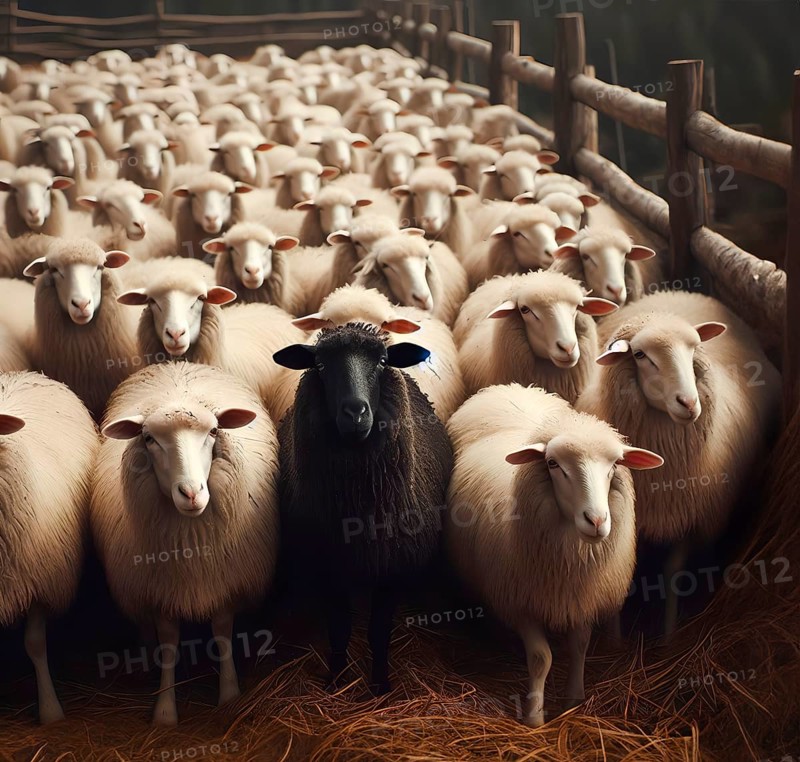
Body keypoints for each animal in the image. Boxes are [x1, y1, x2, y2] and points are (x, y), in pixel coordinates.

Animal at [91, 361, 278, 724]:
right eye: (149, 438)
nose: (191, 492)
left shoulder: (224, 583)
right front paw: (165, 710)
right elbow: (168, 643)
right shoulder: (163, 591)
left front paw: (229, 695)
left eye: (214, 431)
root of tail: (176, 363)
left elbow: (222, 632)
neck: (191, 542)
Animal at [273, 322, 453, 692]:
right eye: (321, 365)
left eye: (382, 361)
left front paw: (380, 686)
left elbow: (379, 633)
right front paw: (336, 681)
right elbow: (339, 632)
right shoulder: (329, 569)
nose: (355, 413)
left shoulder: (391, 568)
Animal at [445, 382, 663, 726]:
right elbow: (540, 657)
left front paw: (574, 699)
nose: (596, 520)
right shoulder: (520, 602)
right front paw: (534, 718)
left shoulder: (583, 598)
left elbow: (580, 646)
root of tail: (510, 387)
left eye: (615, 465)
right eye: (552, 464)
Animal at [577, 291, 781, 633]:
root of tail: (680, 293)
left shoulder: (690, 516)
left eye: (693, 348)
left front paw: (669, 633)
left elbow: (675, 572)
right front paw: (615, 638)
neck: (663, 470)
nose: (688, 402)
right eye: (640, 355)